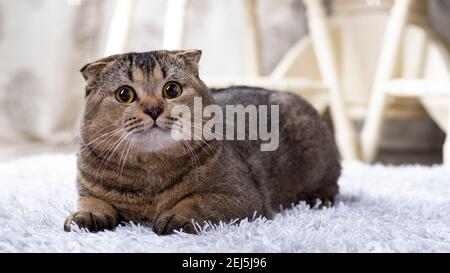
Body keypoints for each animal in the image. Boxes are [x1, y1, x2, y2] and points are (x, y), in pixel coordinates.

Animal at [64, 50, 342, 235]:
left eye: (171, 90)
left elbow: (197, 201)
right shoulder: (87, 189)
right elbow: (91, 201)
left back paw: (317, 198)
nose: (154, 109)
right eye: (124, 94)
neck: (150, 178)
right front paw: (86, 215)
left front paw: (177, 215)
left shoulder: (243, 196)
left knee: (333, 185)